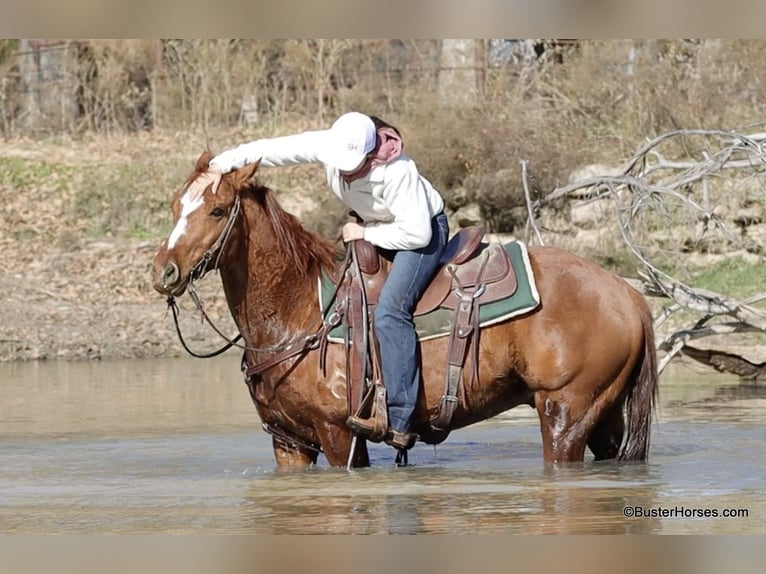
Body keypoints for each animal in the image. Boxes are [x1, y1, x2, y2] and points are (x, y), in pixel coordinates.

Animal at [151, 151, 658, 469]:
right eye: (176, 205)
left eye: (217, 210)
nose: (164, 271)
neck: (299, 310)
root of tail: (627, 293)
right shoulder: (288, 442)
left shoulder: (339, 436)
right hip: (603, 416)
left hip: (566, 414)